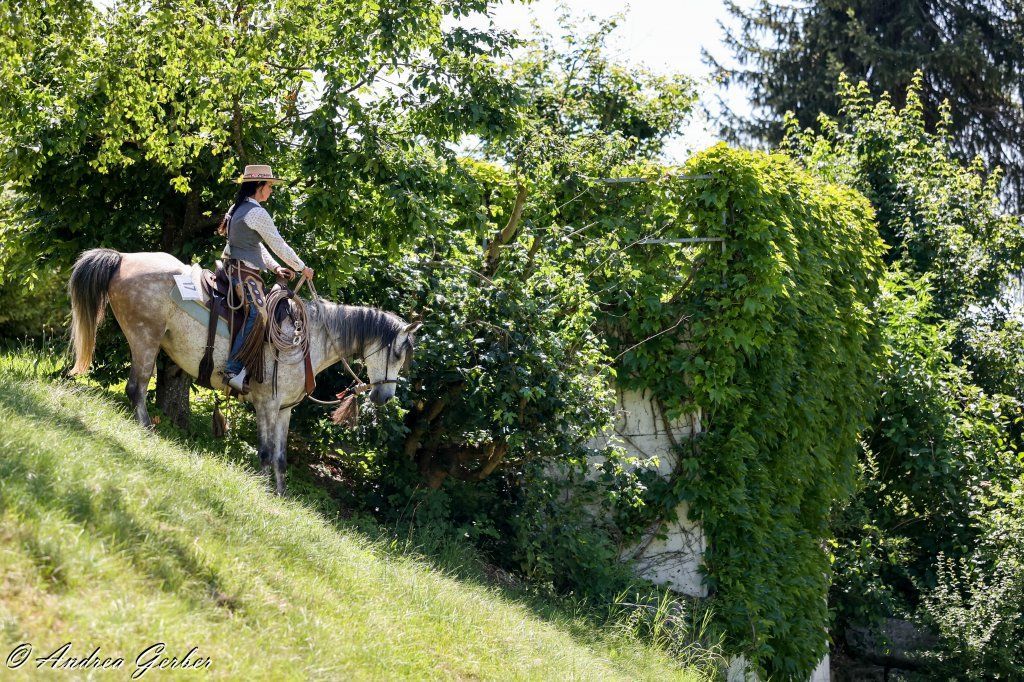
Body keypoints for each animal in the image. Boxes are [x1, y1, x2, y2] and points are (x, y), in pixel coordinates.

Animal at [67, 248, 420, 495]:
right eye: (397, 353)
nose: (385, 396)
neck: (308, 341)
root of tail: (123, 258)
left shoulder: (285, 410)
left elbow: (280, 455)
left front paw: (280, 495)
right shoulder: (266, 403)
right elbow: (264, 451)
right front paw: (263, 489)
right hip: (145, 338)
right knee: (136, 388)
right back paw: (146, 431)